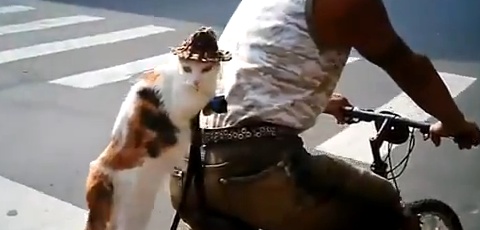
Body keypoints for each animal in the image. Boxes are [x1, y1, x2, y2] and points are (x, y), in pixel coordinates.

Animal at [85, 27, 232, 230]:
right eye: (187, 69)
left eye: (206, 68)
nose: (195, 82)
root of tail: (100, 172)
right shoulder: (183, 101)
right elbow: (201, 98)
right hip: (135, 211)